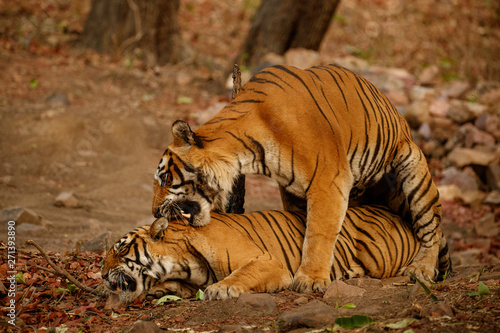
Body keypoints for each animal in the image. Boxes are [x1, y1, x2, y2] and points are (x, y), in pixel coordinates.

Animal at [103, 205, 452, 306]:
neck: (181, 264)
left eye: (119, 249)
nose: (101, 275)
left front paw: (220, 289)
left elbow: (238, 275)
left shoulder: (267, 262)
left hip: (380, 255)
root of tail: (399, 216)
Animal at [153, 63, 446, 292]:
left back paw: (422, 269)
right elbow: (300, 226)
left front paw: (311, 279)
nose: (155, 212)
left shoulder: (329, 179)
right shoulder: (291, 187)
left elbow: (319, 232)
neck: (248, 152)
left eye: (165, 178)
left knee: (432, 226)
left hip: (414, 166)